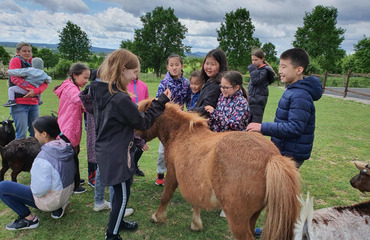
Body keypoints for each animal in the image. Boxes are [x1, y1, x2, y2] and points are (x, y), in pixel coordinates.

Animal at [136, 100, 300, 240]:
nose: (135, 139)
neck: (181, 133)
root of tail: (271, 157)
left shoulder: (172, 173)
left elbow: (166, 196)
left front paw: (157, 217)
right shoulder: (194, 179)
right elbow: (196, 200)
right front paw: (196, 223)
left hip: (238, 220)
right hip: (253, 216)